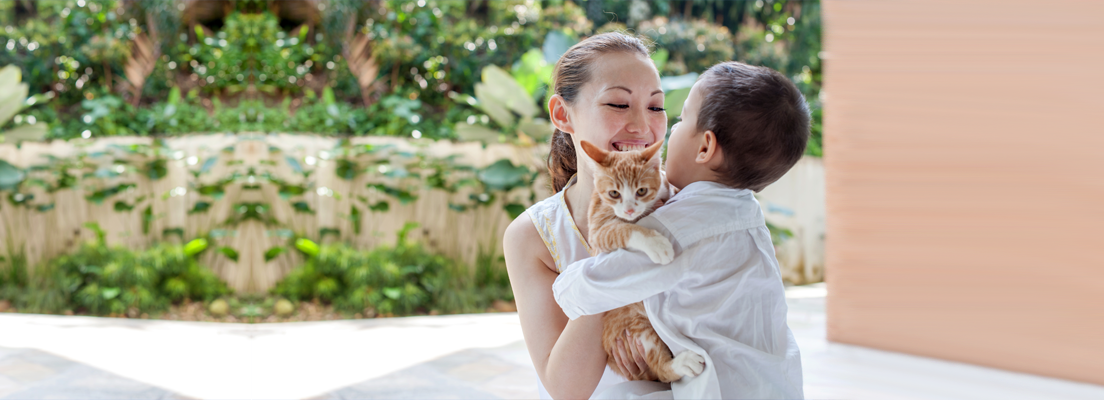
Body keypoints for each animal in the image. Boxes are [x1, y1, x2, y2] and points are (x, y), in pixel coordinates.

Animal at [582, 139, 702, 382]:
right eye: (614, 193)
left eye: (641, 191)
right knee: (661, 369)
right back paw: (681, 363)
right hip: (638, 328)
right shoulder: (598, 232)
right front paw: (656, 244)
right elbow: (625, 229)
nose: (629, 210)